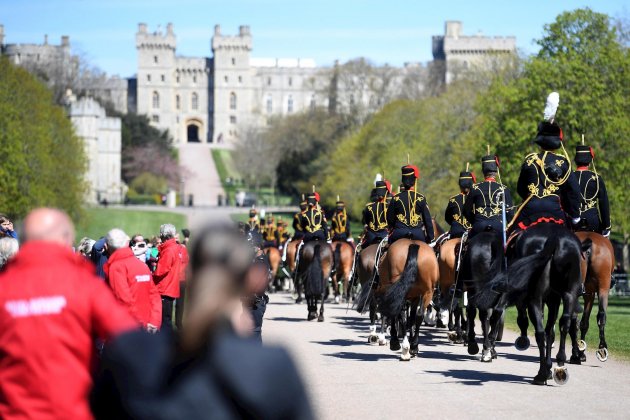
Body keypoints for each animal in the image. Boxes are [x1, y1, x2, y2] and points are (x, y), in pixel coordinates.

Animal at [478, 225, 588, 386]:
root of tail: (555, 238)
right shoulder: (554, 300)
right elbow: (551, 332)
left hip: (535, 299)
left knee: (540, 331)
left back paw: (542, 374)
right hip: (568, 294)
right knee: (563, 324)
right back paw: (559, 364)